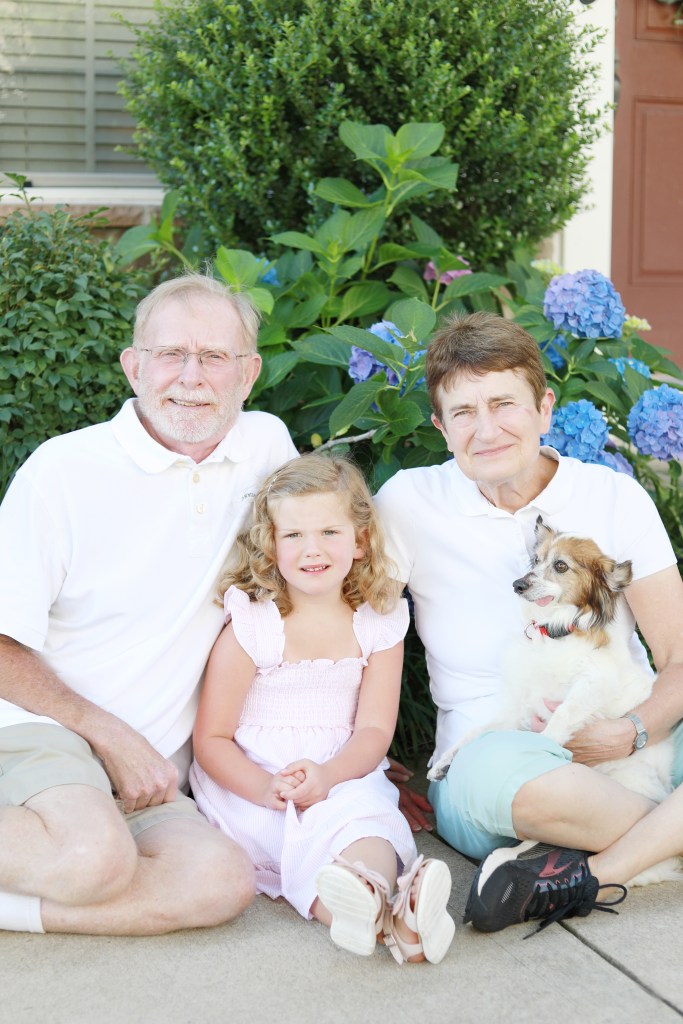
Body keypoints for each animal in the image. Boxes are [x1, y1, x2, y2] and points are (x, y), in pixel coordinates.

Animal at [428, 516, 681, 886]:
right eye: (535, 560)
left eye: (561, 566)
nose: (517, 584)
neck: (555, 634)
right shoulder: (518, 710)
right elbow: (474, 733)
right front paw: (444, 761)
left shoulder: (594, 684)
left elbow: (562, 714)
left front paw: (544, 746)